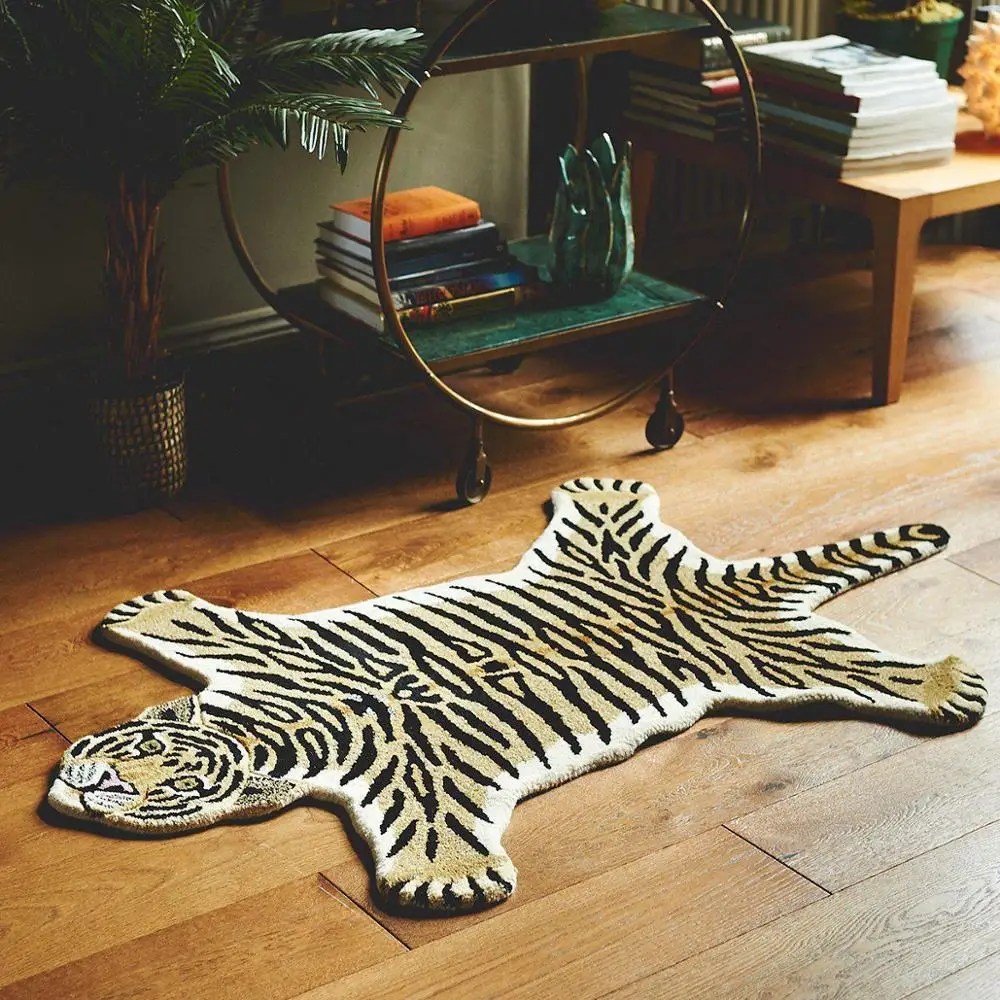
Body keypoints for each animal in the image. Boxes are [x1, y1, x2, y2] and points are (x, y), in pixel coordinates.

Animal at [48, 478, 987, 913]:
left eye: (166, 780)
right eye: (136, 751)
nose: (96, 787)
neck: (277, 723)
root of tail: (713, 583)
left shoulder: (413, 763)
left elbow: (432, 823)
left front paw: (445, 879)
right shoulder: (270, 654)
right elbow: (205, 626)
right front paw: (151, 610)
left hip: (774, 661)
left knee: (871, 672)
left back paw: (946, 683)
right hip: (610, 565)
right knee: (608, 518)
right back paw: (601, 488)